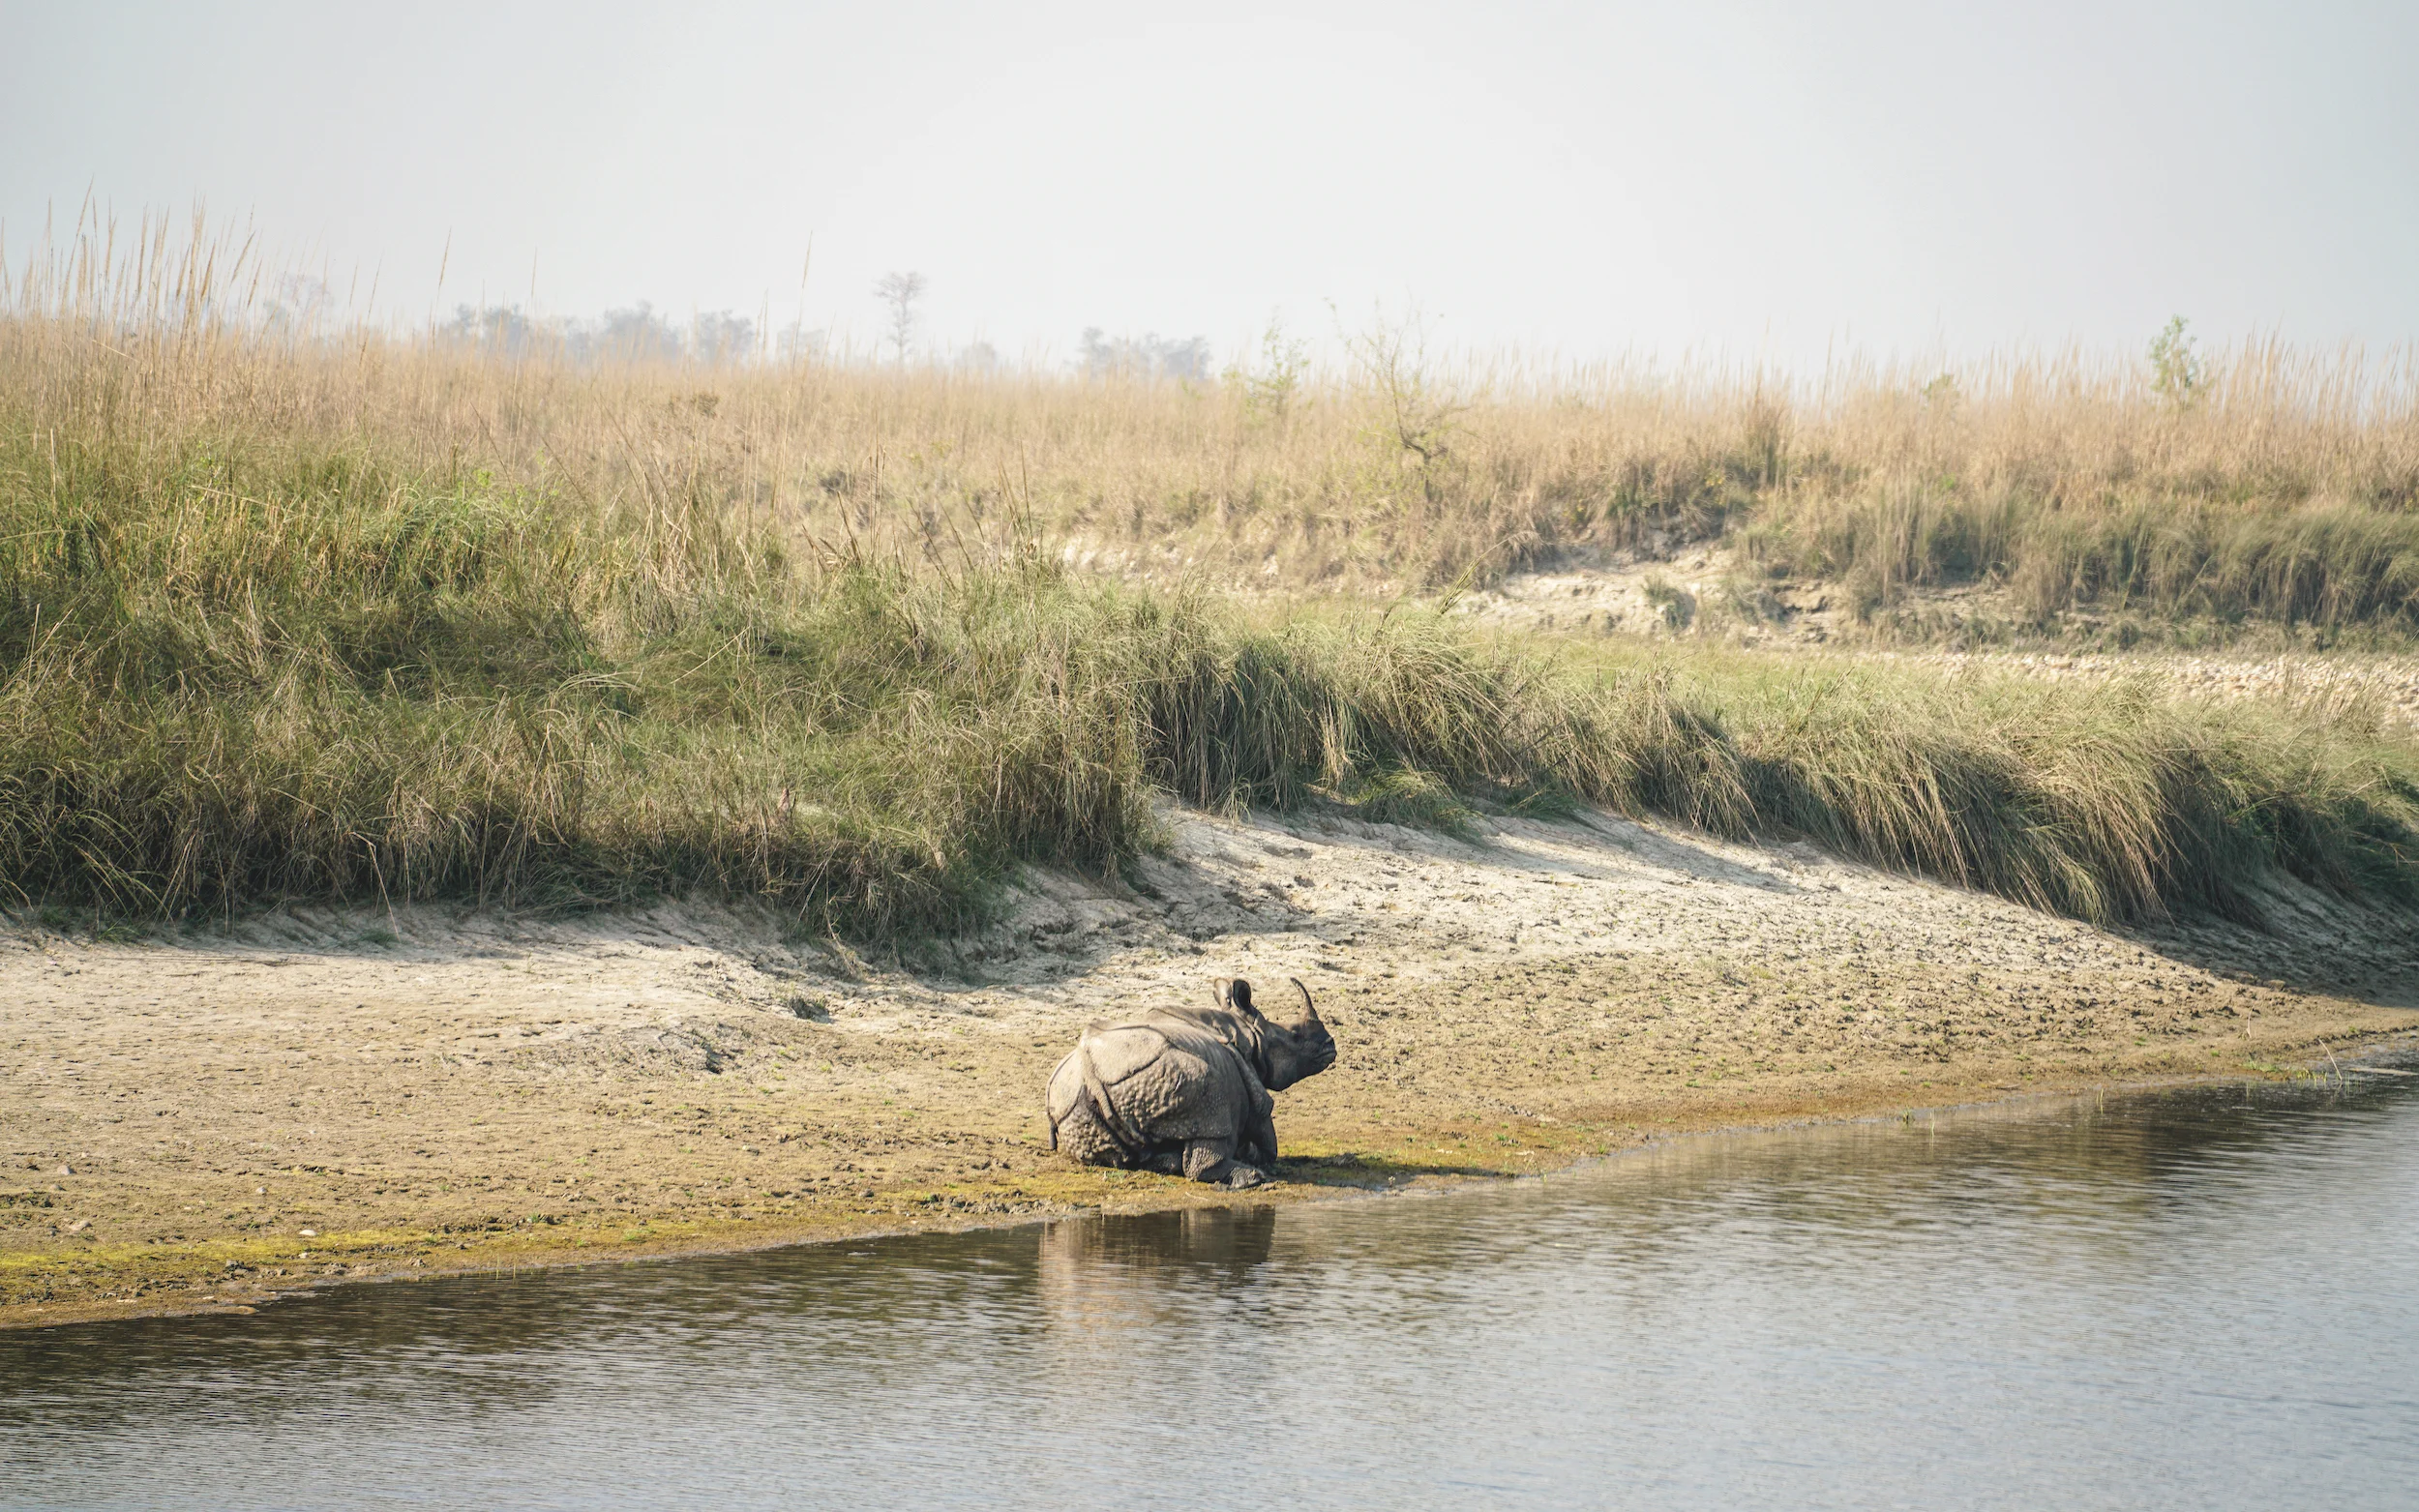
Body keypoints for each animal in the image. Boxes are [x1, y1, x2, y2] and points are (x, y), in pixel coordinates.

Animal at [1046, 977, 1337, 1188]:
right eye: (1295, 1035)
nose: (1330, 1045)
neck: (1251, 1035)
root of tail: (1091, 1073)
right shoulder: (1252, 1085)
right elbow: (1266, 1126)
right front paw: (1256, 1155)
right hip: (1174, 1073)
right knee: (1211, 1097)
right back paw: (1253, 1177)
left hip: (1073, 1104)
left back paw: (1167, 1163)